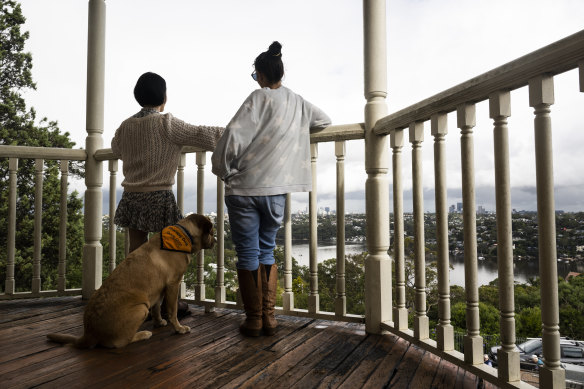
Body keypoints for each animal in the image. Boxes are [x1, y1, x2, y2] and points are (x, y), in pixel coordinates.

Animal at [46, 214, 214, 348]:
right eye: (212, 232)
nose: (216, 240)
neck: (186, 234)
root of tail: (89, 333)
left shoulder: (159, 290)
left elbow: (157, 309)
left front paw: (159, 322)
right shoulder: (173, 284)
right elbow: (172, 311)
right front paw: (179, 329)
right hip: (141, 308)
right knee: (120, 342)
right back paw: (143, 334)